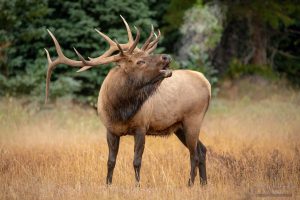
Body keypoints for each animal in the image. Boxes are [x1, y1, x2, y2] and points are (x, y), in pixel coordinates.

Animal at [44, 16, 211, 187]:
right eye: (140, 61)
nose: (166, 57)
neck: (120, 110)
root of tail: (206, 81)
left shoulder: (141, 127)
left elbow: (136, 161)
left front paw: (137, 185)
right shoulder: (110, 129)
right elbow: (110, 161)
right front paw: (108, 184)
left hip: (193, 119)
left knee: (194, 154)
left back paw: (190, 184)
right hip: (179, 126)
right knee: (202, 150)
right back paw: (203, 184)